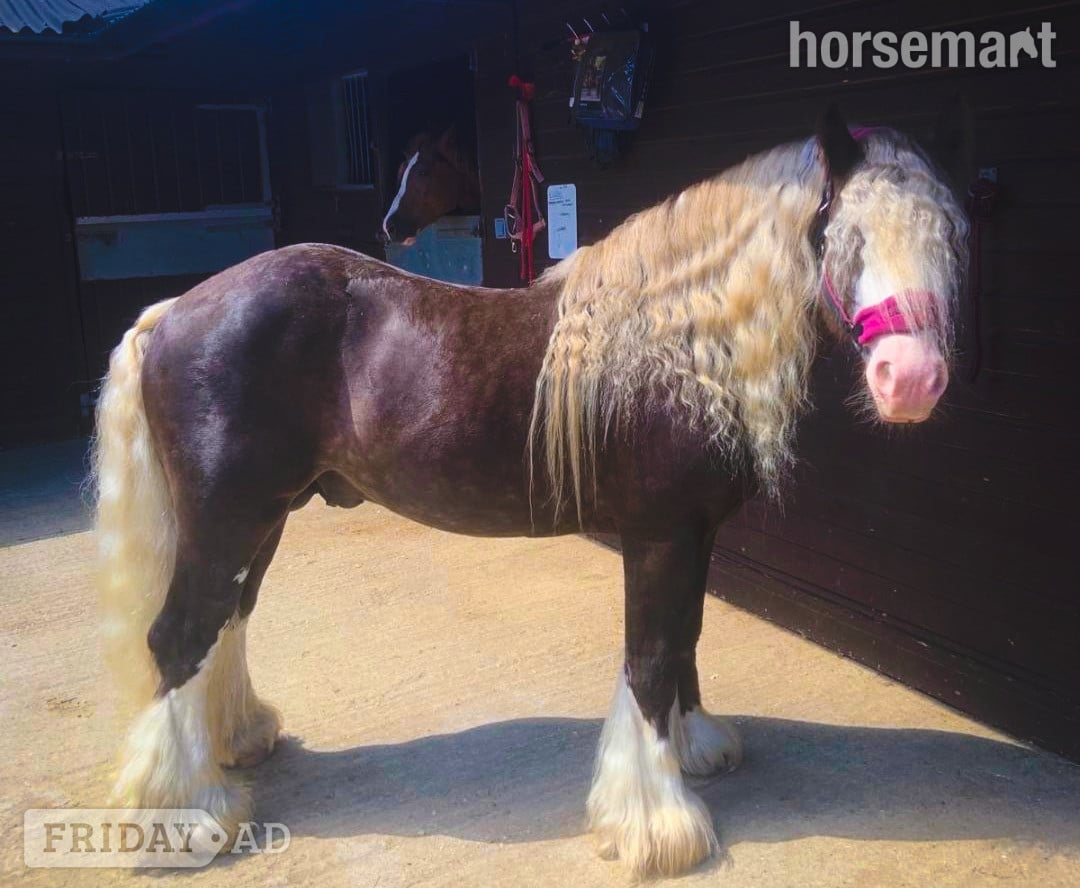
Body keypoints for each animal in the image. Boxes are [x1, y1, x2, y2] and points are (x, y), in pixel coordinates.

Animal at [92, 106, 966, 878]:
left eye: (951, 240)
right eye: (845, 235)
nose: (912, 380)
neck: (678, 345)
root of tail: (174, 311)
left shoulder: (696, 534)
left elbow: (685, 638)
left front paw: (695, 749)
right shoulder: (659, 535)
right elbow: (650, 659)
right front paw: (657, 825)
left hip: (262, 518)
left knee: (227, 622)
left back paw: (235, 744)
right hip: (229, 517)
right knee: (180, 637)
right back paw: (187, 817)